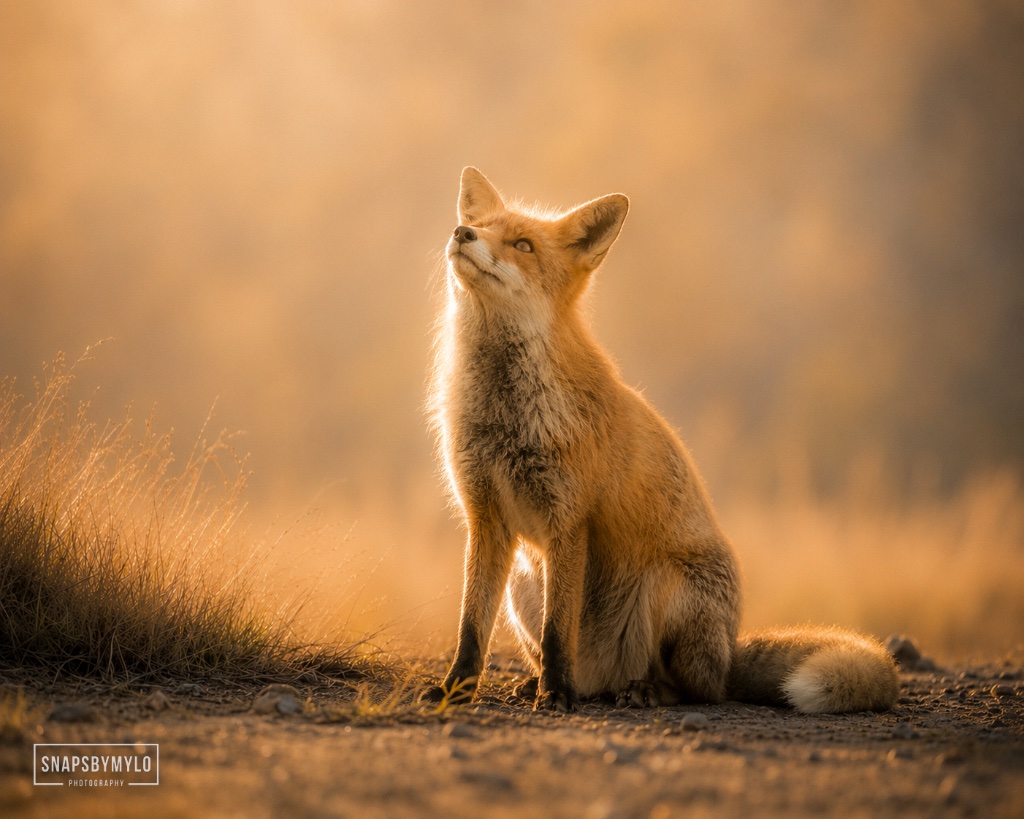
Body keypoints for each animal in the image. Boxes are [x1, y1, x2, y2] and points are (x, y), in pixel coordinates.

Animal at [422, 167, 899, 714]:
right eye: (481, 225)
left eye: (523, 245)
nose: (463, 233)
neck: (505, 417)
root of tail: (728, 655)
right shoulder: (487, 520)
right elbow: (470, 628)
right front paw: (456, 690)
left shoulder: (569, 520)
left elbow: (558, 631)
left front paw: (557, 694)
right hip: (523, 584)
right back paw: (545, 683)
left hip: (661, 586)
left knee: (695, 691)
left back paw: (634, 690)